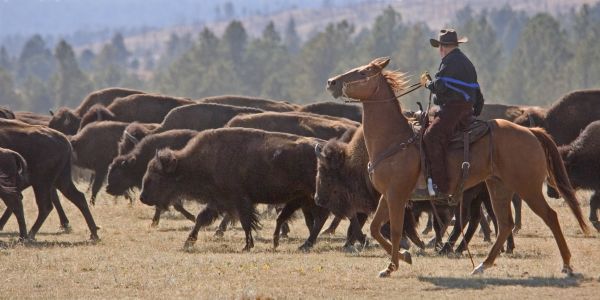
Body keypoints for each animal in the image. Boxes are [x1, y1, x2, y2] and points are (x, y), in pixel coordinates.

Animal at [139, 128, 330, 251]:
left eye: (157, 176)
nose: (142, 197)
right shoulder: (218, 200)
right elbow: (201, 218)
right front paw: (188, 242)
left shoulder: (239, 200)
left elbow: (246, 222)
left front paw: (247, 246)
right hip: (306, 199)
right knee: (313, 220)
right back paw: (305, 243)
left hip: (313, 197)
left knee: (320, 218)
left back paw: (306, 244)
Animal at [326, 57, 588, 278]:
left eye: (363, 72)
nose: (332, 82)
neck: (394, 139)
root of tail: (531, 132)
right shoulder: (388, 195)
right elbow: (375, 228)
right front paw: (404, 257)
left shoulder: (397, 194)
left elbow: (396, 230)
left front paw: (391, 267)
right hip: (498, 186)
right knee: (505, 225)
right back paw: (483, 265)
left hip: (528, 187)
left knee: (550, 217)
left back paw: (566, 265)